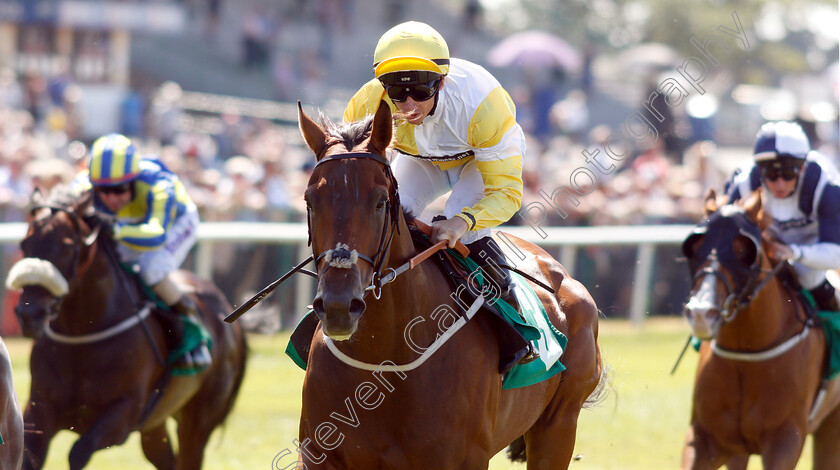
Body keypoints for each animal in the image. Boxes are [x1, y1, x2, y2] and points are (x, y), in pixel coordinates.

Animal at [5, 187, 246, 470]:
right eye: (25, 244)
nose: (29, 314)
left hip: (199, 419)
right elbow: (29, 457)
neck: (82, 337)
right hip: (155, 424)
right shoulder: (40, 411)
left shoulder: (124, 414)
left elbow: (78, 452)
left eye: (67, 247)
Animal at [296, 101, 604, 468]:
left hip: (558, 425)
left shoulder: (463, 457)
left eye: (380, 202)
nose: (339, 306)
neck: (382, 360)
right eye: (310, 201)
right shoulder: (317, 455)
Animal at [680, 189, 840, 468]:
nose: (701, 313)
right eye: (695, 247)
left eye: (744, 250)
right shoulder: (704, 439)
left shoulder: (785, 439)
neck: (745, 356)